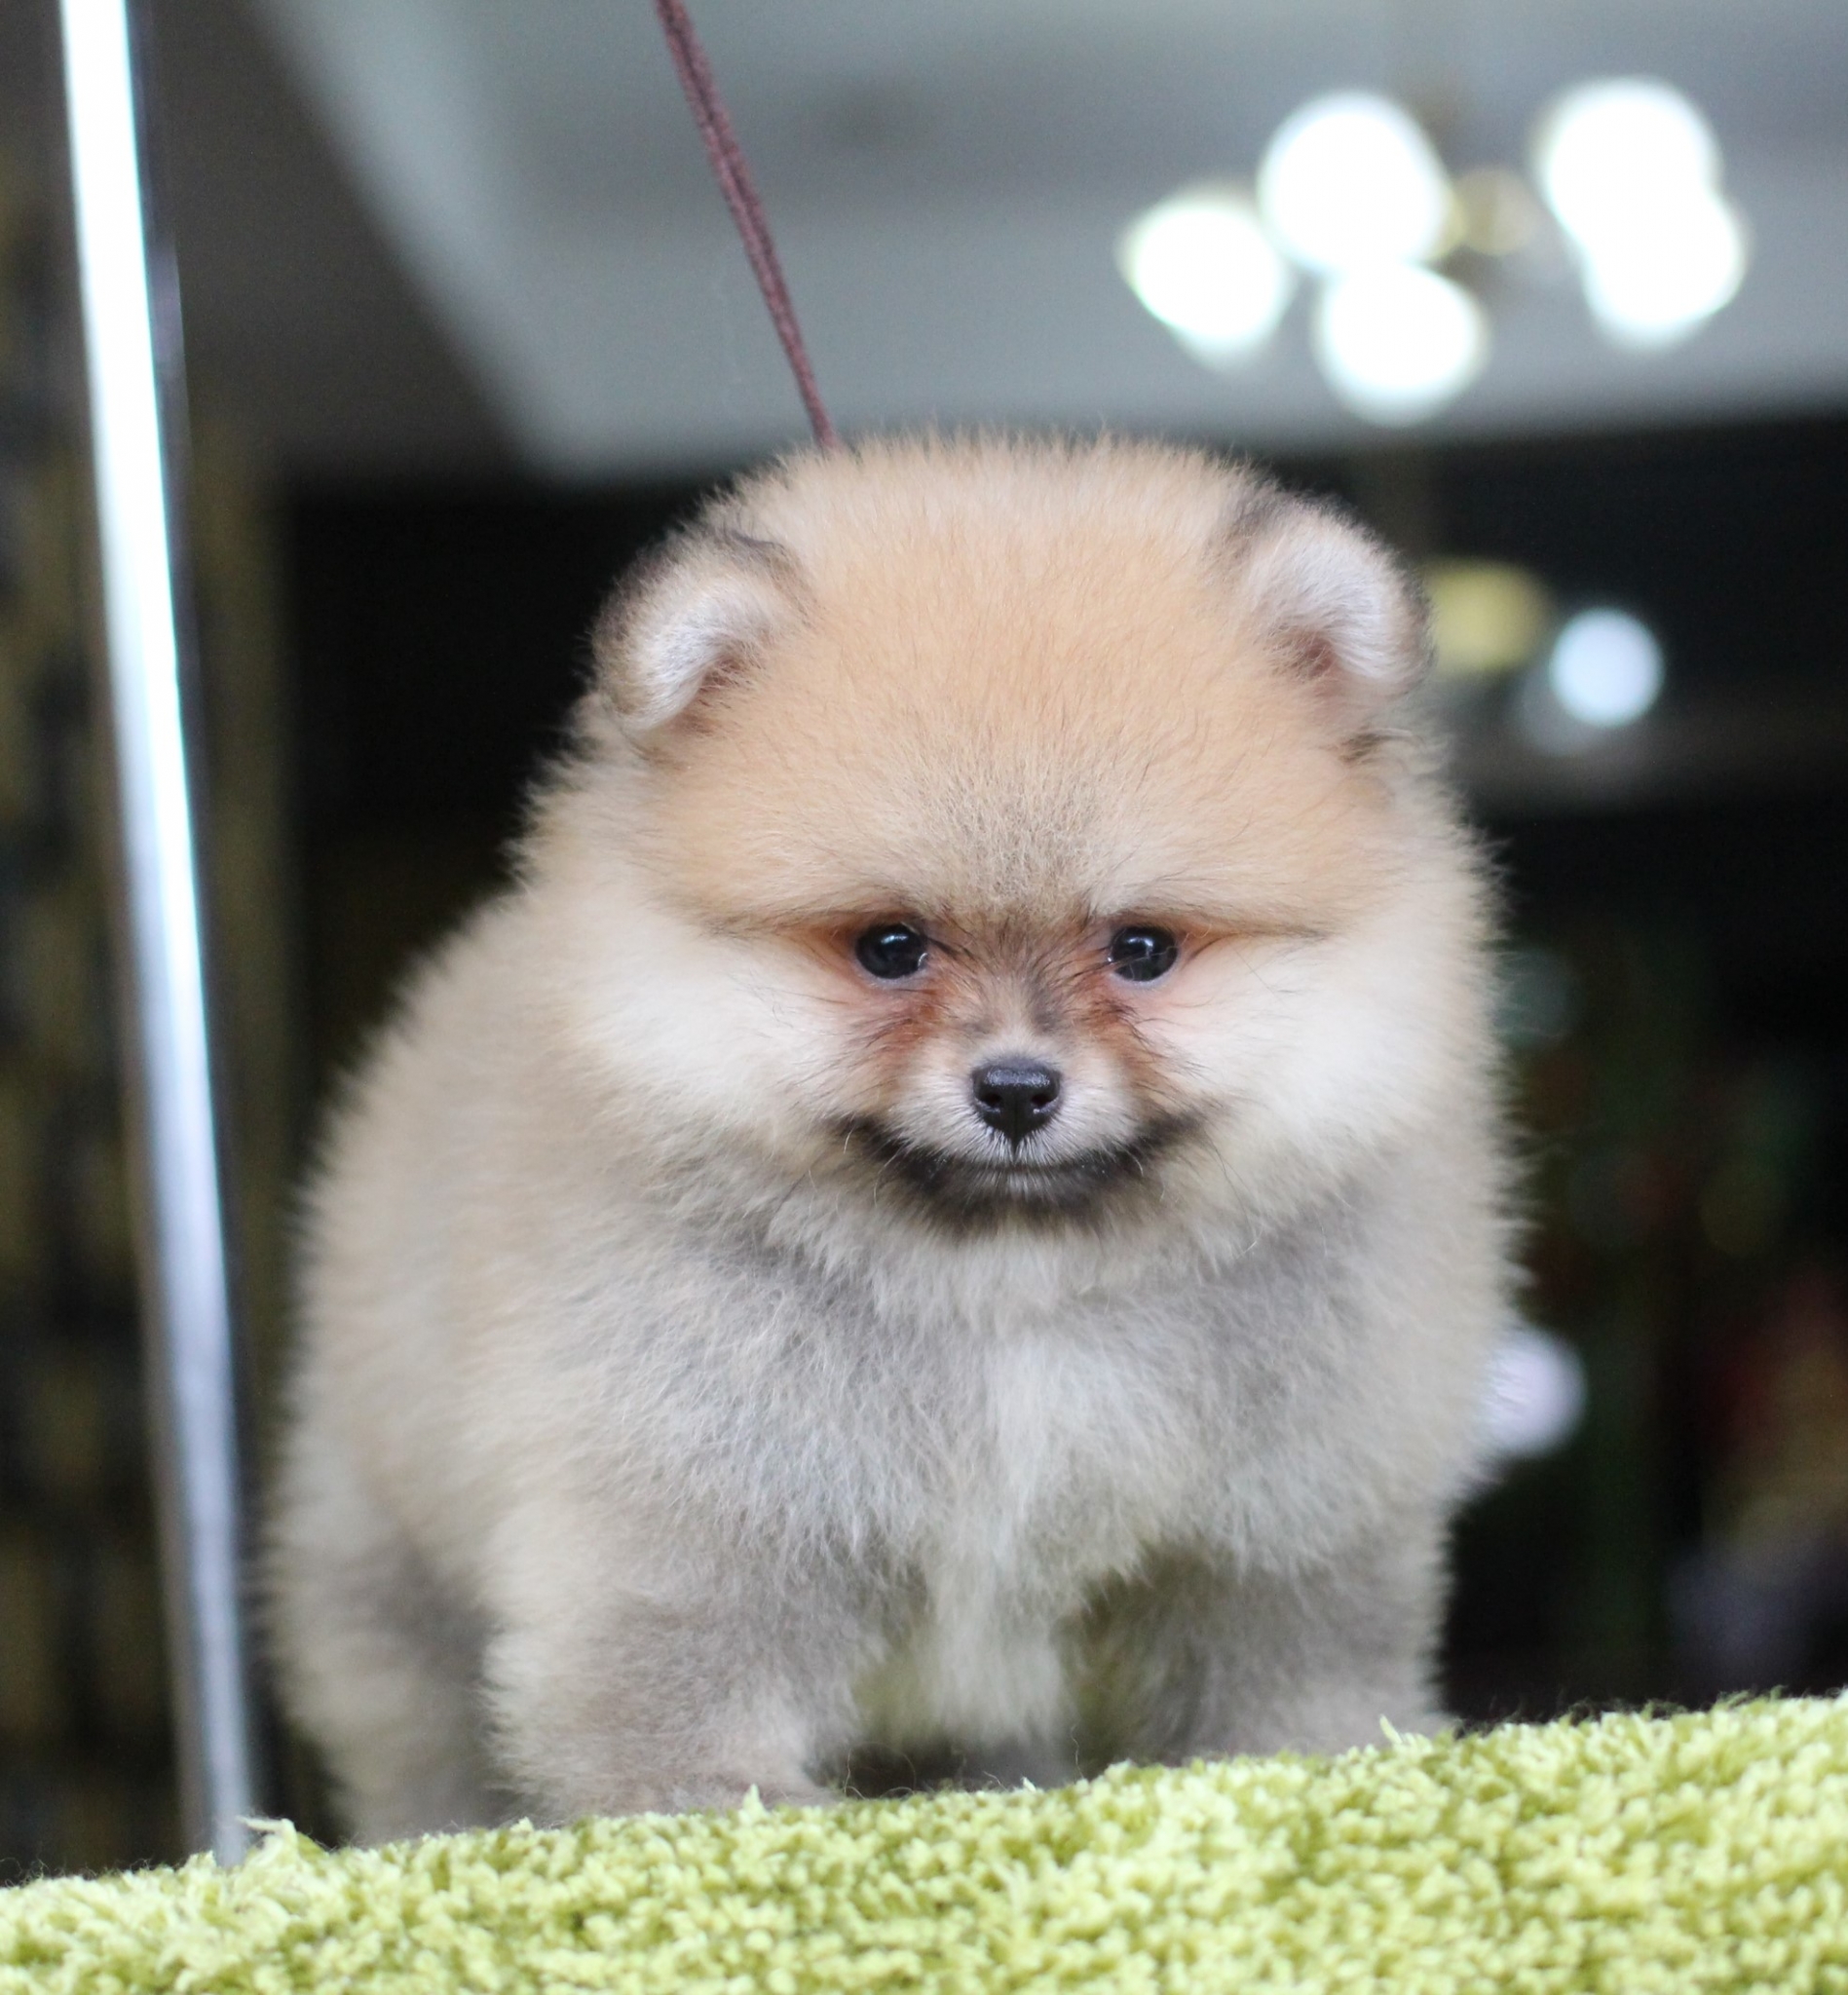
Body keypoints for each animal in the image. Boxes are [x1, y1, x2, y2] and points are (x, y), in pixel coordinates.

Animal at [269, 434, 1512, 1840]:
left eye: (1141, 948)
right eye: (889, 946)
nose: (1016, 1087)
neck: (1015, 1282)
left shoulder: (1287, 1522)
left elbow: (1291, 1675)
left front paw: (1314, 1776)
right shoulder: (690, 1495)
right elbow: (673, 1665)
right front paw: (705, 1802)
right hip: (384, 1544)